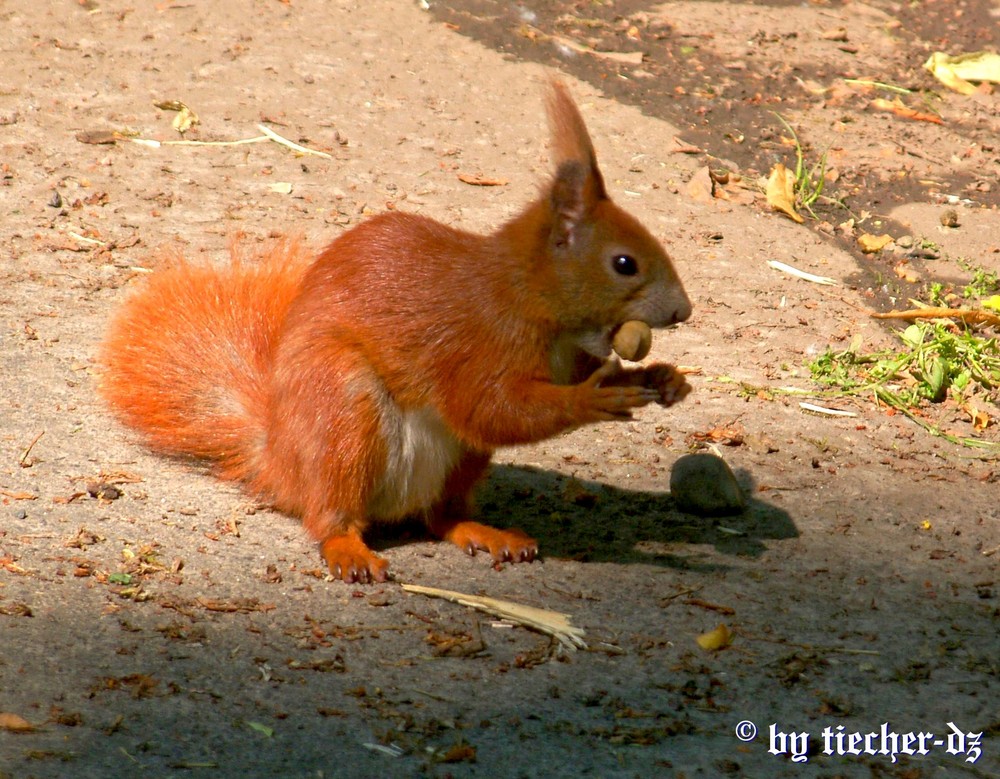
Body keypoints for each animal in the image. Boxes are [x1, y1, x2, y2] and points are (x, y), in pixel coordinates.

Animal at [101, 84, 696, 584]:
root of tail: (280, 459)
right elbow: (490, 408)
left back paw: (484, 532)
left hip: (461, 461)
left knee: (437, 517)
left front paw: (663, 379)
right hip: (343, 410)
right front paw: (594, 398)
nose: (684, 310)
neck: (527, 296)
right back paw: (349, 548)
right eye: (624, 263)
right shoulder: (474, 343)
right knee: (331, 513)